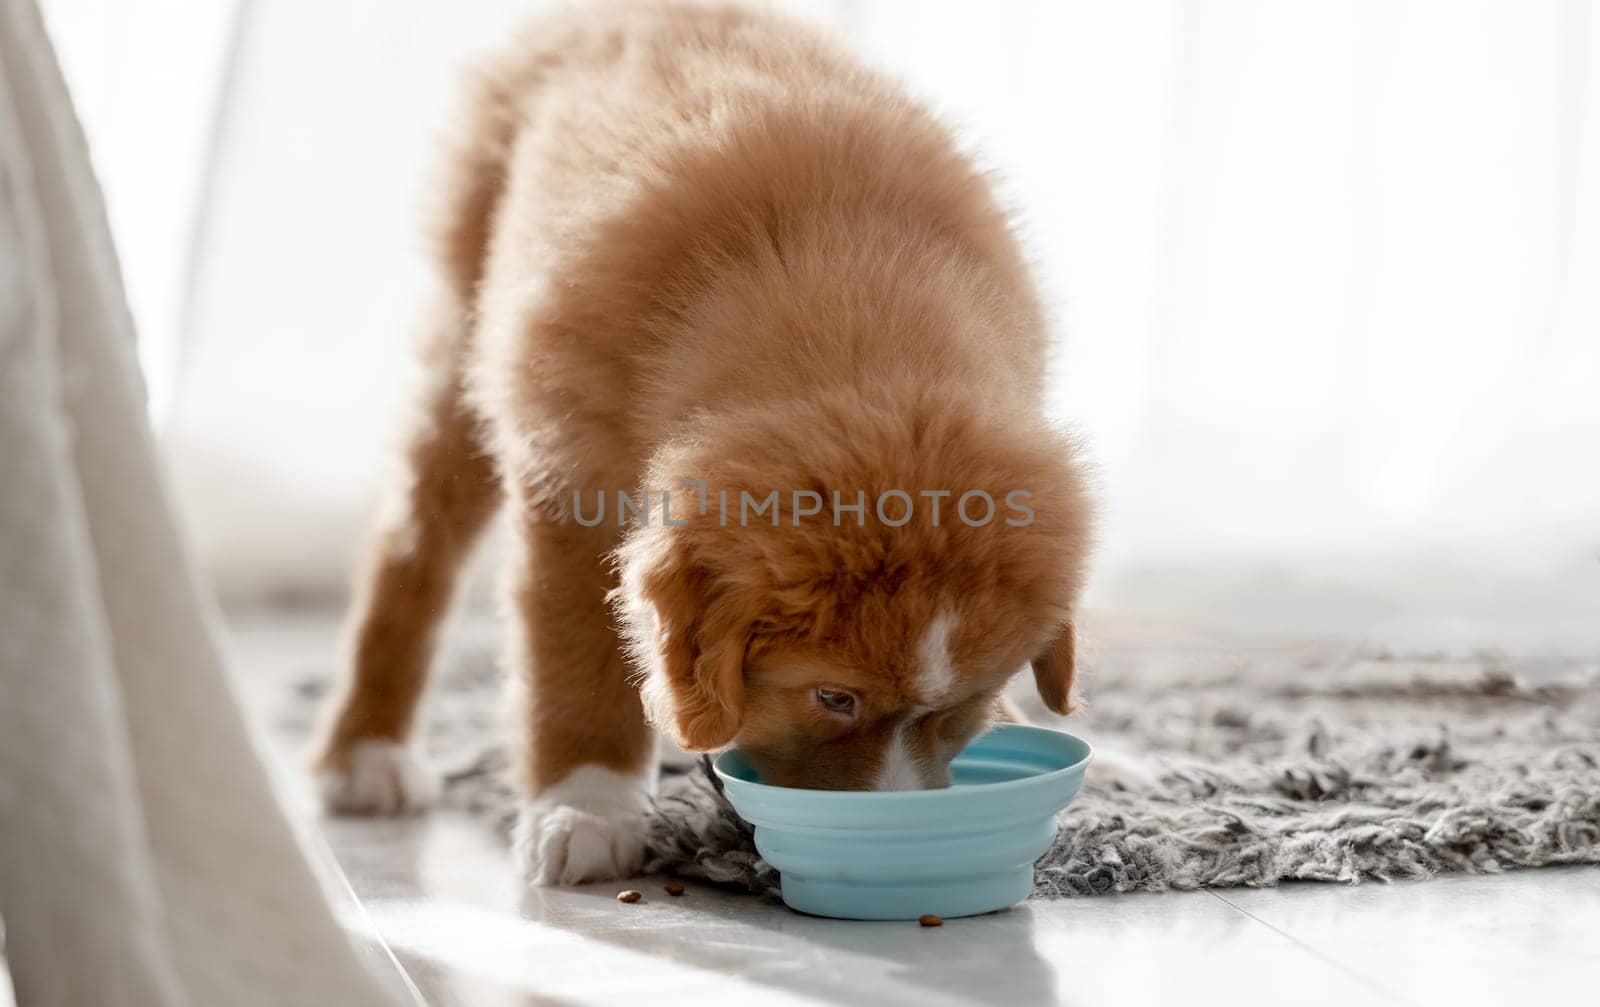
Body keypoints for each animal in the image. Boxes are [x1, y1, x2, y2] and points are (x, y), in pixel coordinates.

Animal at [310, 0, 1094, 890]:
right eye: (833, 696)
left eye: (959, 706)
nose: (897, 826)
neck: (857, 316)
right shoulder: (570, 469)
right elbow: (575, 661)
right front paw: (586, 805)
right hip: (465, 330)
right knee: (414, 544)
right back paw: (366, 750)